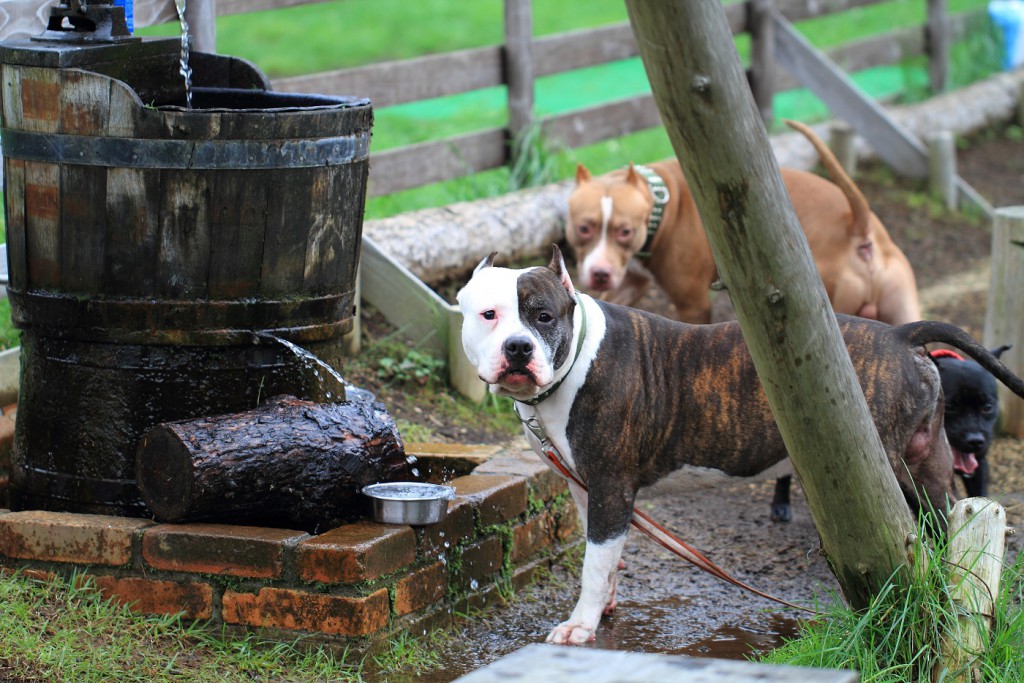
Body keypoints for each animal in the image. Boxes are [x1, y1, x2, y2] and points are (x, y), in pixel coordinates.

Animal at [457, 247, 1024, 645]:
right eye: (488, 314)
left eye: (543, 316)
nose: (518, 348)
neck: (576, 355)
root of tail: (901, 335)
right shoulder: (584, 487)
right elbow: (607, 559)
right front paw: (604, 608)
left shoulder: (612, 486)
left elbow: (594, 562)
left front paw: (580, 625)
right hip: (927, 466)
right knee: (950, 523)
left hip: (885, 468)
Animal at [566, 119, 921, 326]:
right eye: (584, 228)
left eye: (624, 231)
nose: (599, 273)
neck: (660, 201)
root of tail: (859, 229)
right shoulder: (631, 283)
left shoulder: (693, 304)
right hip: (902, 308)